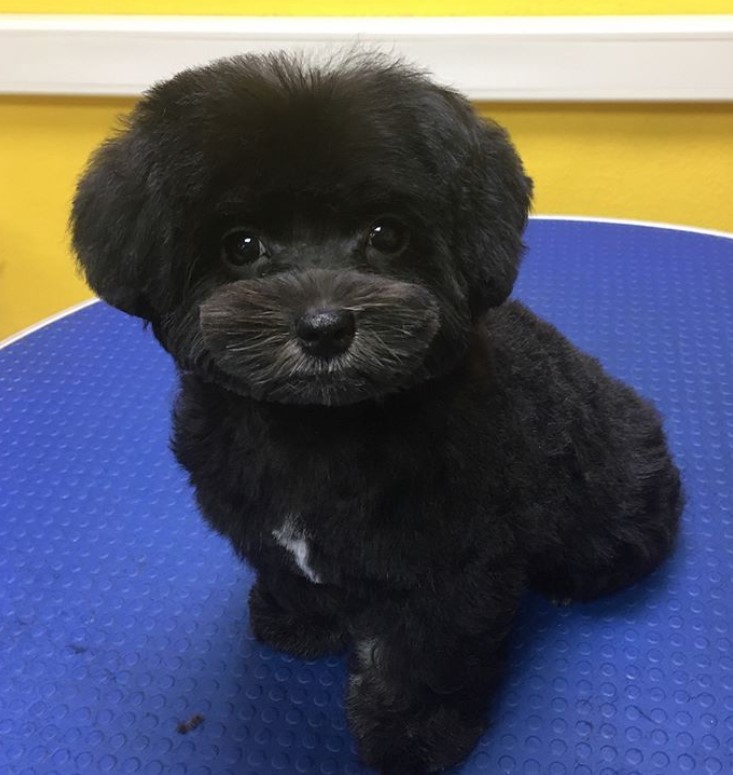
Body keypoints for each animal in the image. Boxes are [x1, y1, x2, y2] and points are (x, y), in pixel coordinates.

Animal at [71, 51, 684, 772]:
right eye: (241, 245)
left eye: (386, 234)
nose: (324, 326)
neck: (316, 430)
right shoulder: (261, 527)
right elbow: (294, 575)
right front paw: (301, 623)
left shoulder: (448, 574)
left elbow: (420, 659)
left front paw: (412, 735)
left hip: (610, 502)